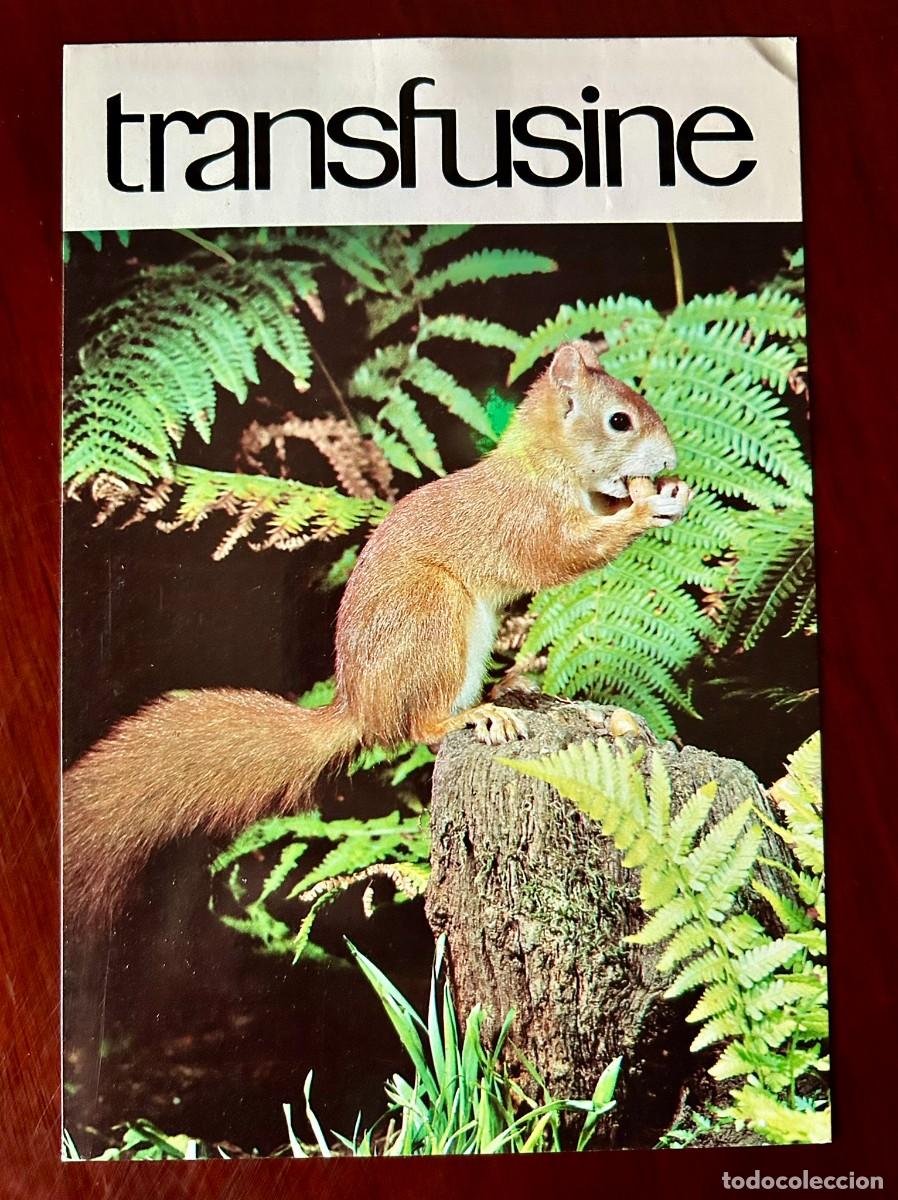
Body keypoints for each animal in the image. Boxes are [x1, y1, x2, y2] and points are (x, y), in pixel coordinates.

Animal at [64, 340, 692, 927]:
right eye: (620, 421)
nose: (671, 458)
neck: (543, 464)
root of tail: (361, 709)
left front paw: (663, 496)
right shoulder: (526, 520)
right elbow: (564, 555)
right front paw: (648, 509)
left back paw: (510, 691)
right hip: (433, 616)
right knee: (420, 728)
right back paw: (476, 717)